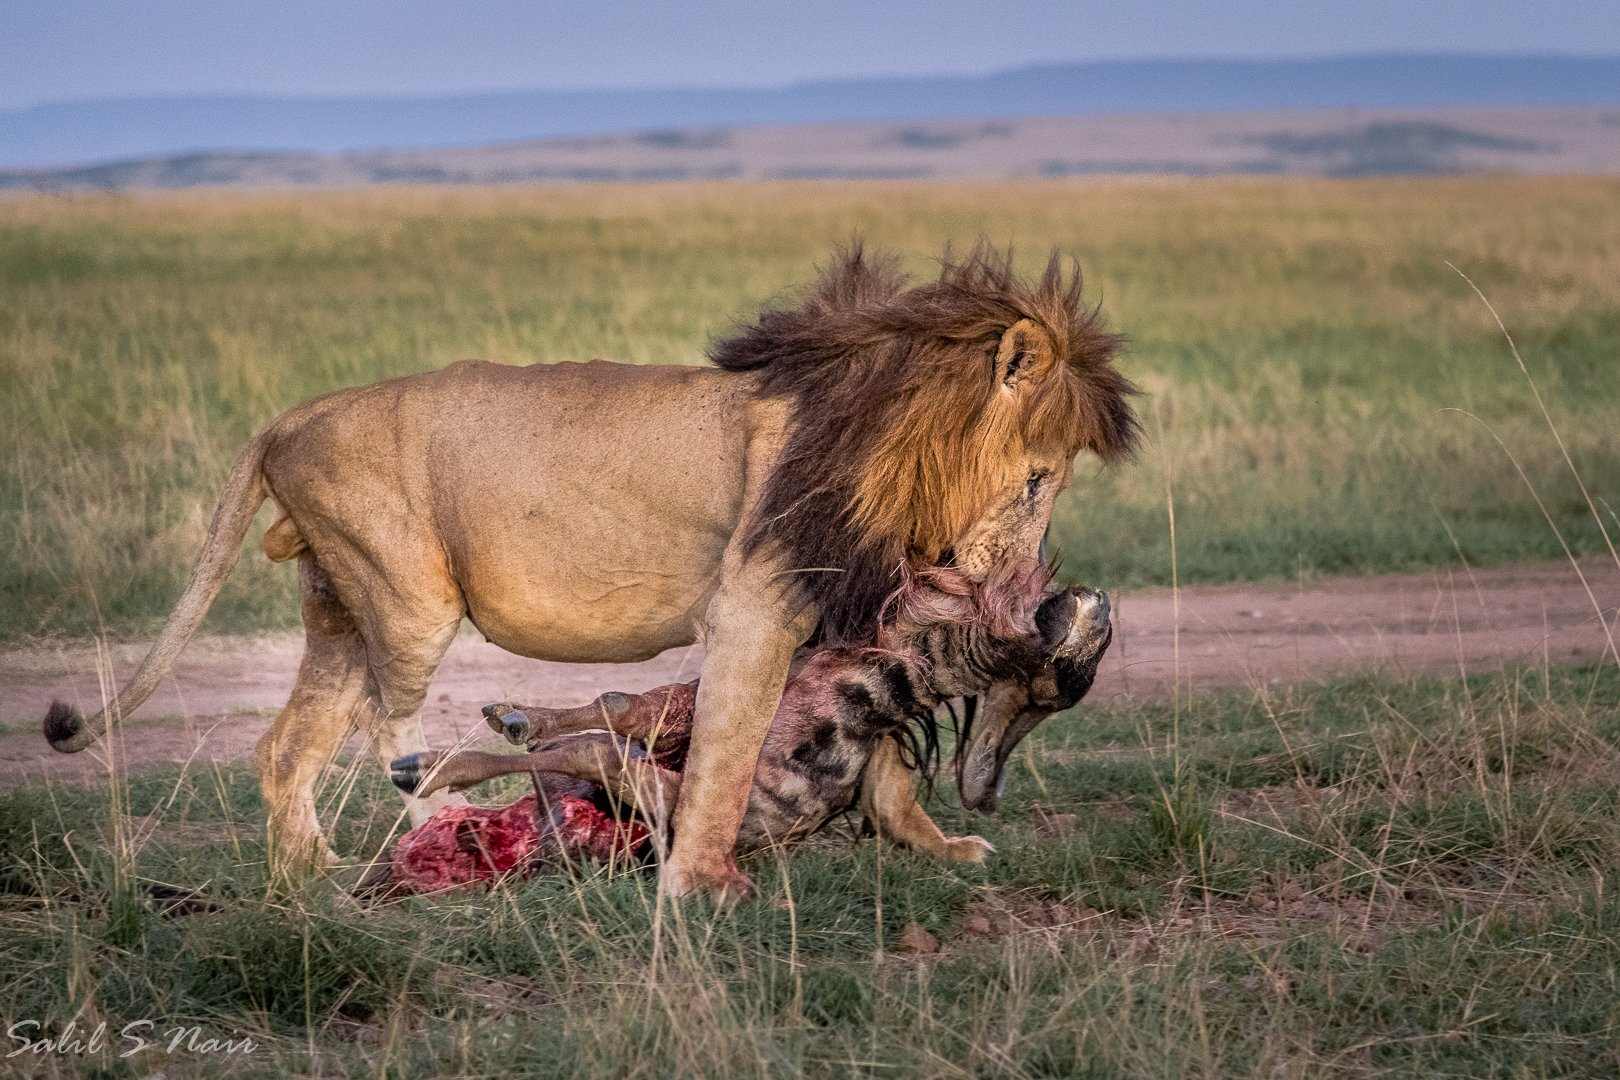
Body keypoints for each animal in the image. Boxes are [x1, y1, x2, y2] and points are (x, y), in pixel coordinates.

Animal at [43, 242, 1136, 899]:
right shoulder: (755, 605)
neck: (883, 437)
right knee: (385, 720)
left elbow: (861, 762)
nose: (1024, 592)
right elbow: (728, 750)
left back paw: (316, 877)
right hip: (407, 595)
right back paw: (437, 810)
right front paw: (701, 882)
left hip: (340, 606)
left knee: (286, 746)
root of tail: (286, 419)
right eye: (1038, 481)